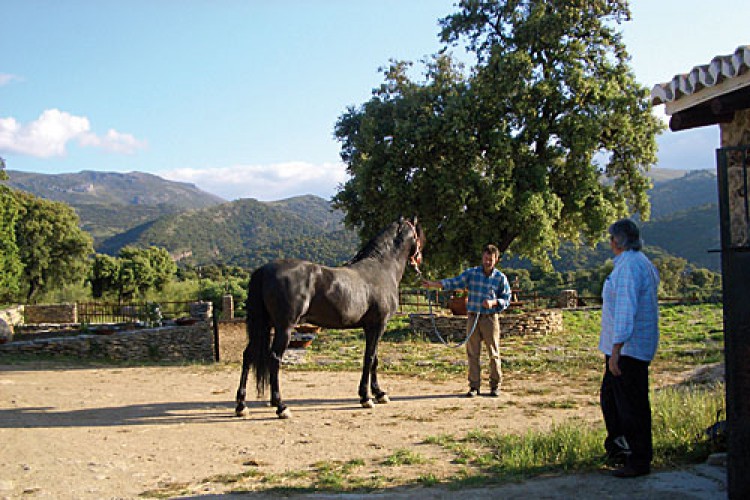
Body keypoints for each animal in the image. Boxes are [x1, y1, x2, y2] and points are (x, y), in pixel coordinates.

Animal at [236, 216, 424, 418]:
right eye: (417, 235)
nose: (419, 260)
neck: (381, 269)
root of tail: (264, 270)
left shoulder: (370, 327)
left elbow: (374, 358)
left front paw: (379, 393)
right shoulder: (378, 325)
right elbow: (370, 357)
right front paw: (366, 397)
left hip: (264, 326)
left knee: (248, 356)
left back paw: (242, 405)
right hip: (284, 328)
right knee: (274, 359)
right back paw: (281, 406)